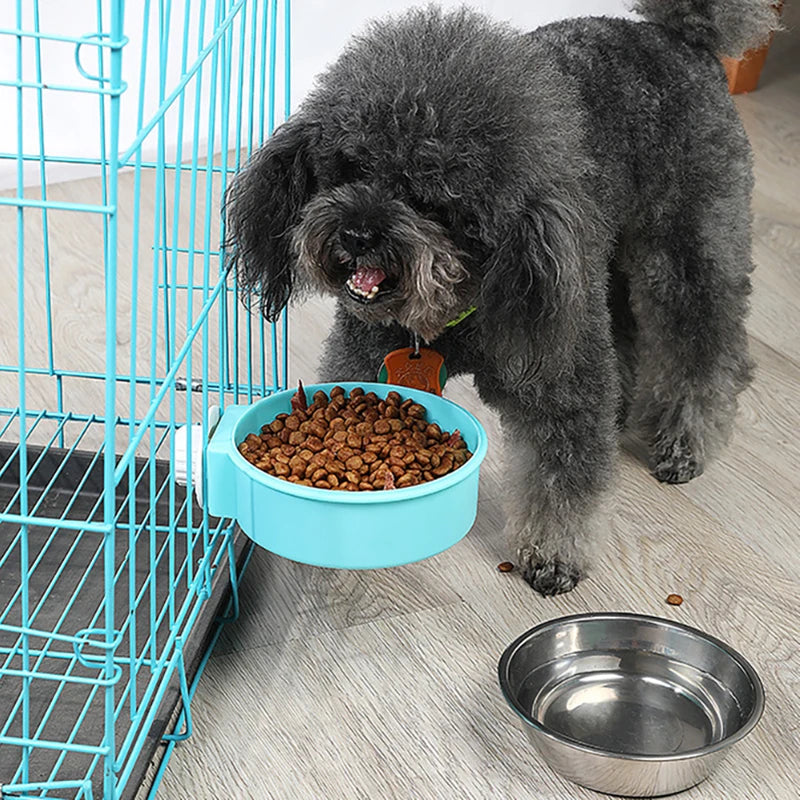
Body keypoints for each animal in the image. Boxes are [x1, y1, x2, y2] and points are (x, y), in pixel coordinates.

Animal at [222, 0, 780, 592]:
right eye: (351, 168)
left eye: (430, 197)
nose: (356, 233)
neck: (454, 310)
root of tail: (681, 36)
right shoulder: (366, 355)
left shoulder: (562, 374)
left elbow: (564, 477)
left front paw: (553, 554)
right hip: (604, 264)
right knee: (630, 335)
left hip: (688, 248)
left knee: (707, 349)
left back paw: (685, 441)